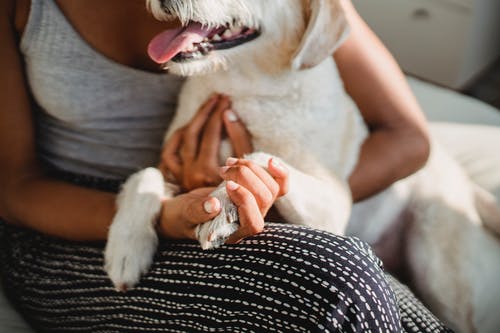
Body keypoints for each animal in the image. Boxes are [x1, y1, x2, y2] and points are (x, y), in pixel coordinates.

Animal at [103, 1, 500, 330]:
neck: (245, 90)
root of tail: (464, 182)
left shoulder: (334, 205)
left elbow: (258, 158)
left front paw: (226, 206)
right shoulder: (175, 169)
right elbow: (144, 175)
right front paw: (126, 246)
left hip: (442, 274)